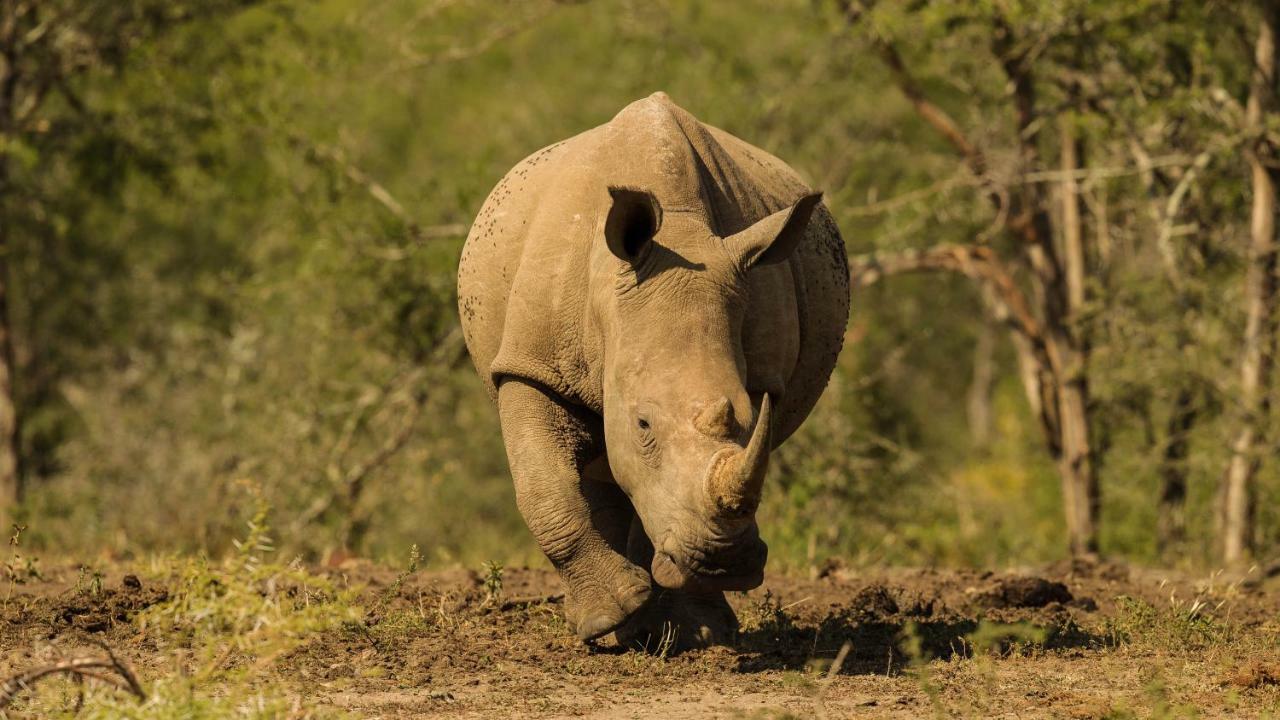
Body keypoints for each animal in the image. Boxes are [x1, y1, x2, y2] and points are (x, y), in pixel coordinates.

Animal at [460, 90, 849, 645]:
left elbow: (652, 497)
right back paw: (608, 625)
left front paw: (682, 632)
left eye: (755, 416)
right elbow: (545, 489)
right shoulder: (531, 365)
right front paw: (613, 617)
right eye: (642, 423)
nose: (723, 562)